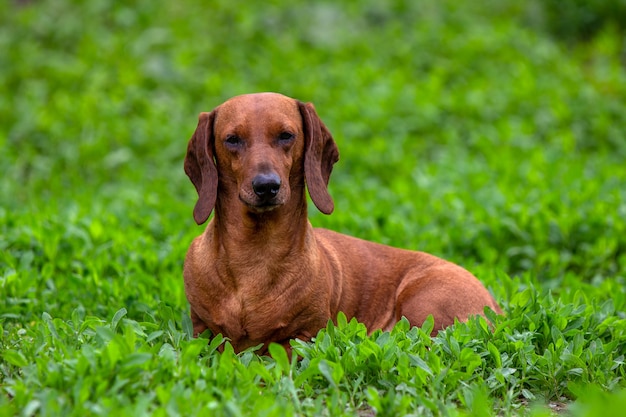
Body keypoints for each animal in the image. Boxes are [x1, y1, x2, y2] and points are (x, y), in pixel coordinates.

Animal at [183, 92, 500, 352]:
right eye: (232, 139)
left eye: (286, 135)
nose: (266, 186)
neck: (255, 255)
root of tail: (495, 306)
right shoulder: (203, 332)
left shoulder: (305, 337)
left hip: (422, 305)